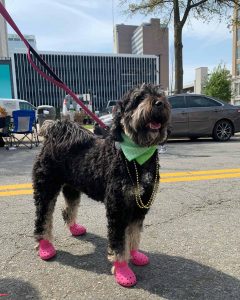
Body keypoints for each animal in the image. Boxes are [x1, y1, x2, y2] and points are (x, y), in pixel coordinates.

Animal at [33, 83, 171, 288]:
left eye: (161, 95)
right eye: (138, 98)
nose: (159, 103)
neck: (136, 157)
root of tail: (57, 131)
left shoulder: (140, 206)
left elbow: (134, 234)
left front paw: (135, 255)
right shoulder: (118, 207)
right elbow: (119, 242)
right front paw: (123, 270)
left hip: (72, 188)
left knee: (68, 209)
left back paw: (74, 228)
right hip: (46, 187)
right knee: (43, 218)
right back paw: (45, 247)